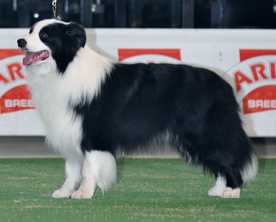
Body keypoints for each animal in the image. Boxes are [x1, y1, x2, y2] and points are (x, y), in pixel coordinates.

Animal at [17, 19, 256, 199]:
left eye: (45, 35)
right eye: (30, 31)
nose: (20, 41)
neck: (64, 68)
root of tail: (224, 84)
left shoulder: (93, 134)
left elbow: (89, 167)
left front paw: (83, 193)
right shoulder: (70, 130)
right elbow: (72, 168)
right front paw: (64, 191)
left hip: (204, 132)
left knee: (227, 158)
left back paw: (232, 191)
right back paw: (218, 190)